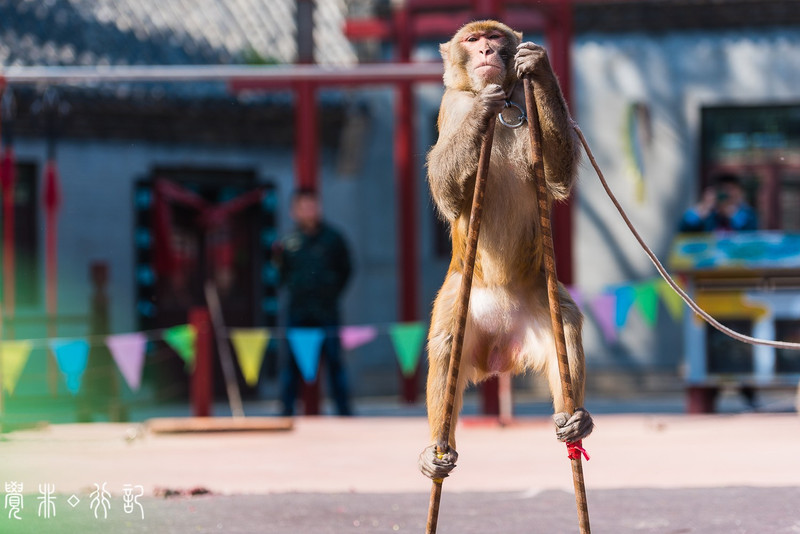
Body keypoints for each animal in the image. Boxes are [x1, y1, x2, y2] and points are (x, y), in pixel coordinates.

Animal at [418, 19, 592, 482]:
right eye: (472, 40)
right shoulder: (452, 107)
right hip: (461, 303)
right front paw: (484, 108)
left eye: (494, 38)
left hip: (540, 305)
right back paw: (436, 450)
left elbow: (556, 176)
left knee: (567, 326)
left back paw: (576, 421)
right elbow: (446, 191)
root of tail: (499, 349)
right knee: (446, 347)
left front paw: (539, 68)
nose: (486, 53)